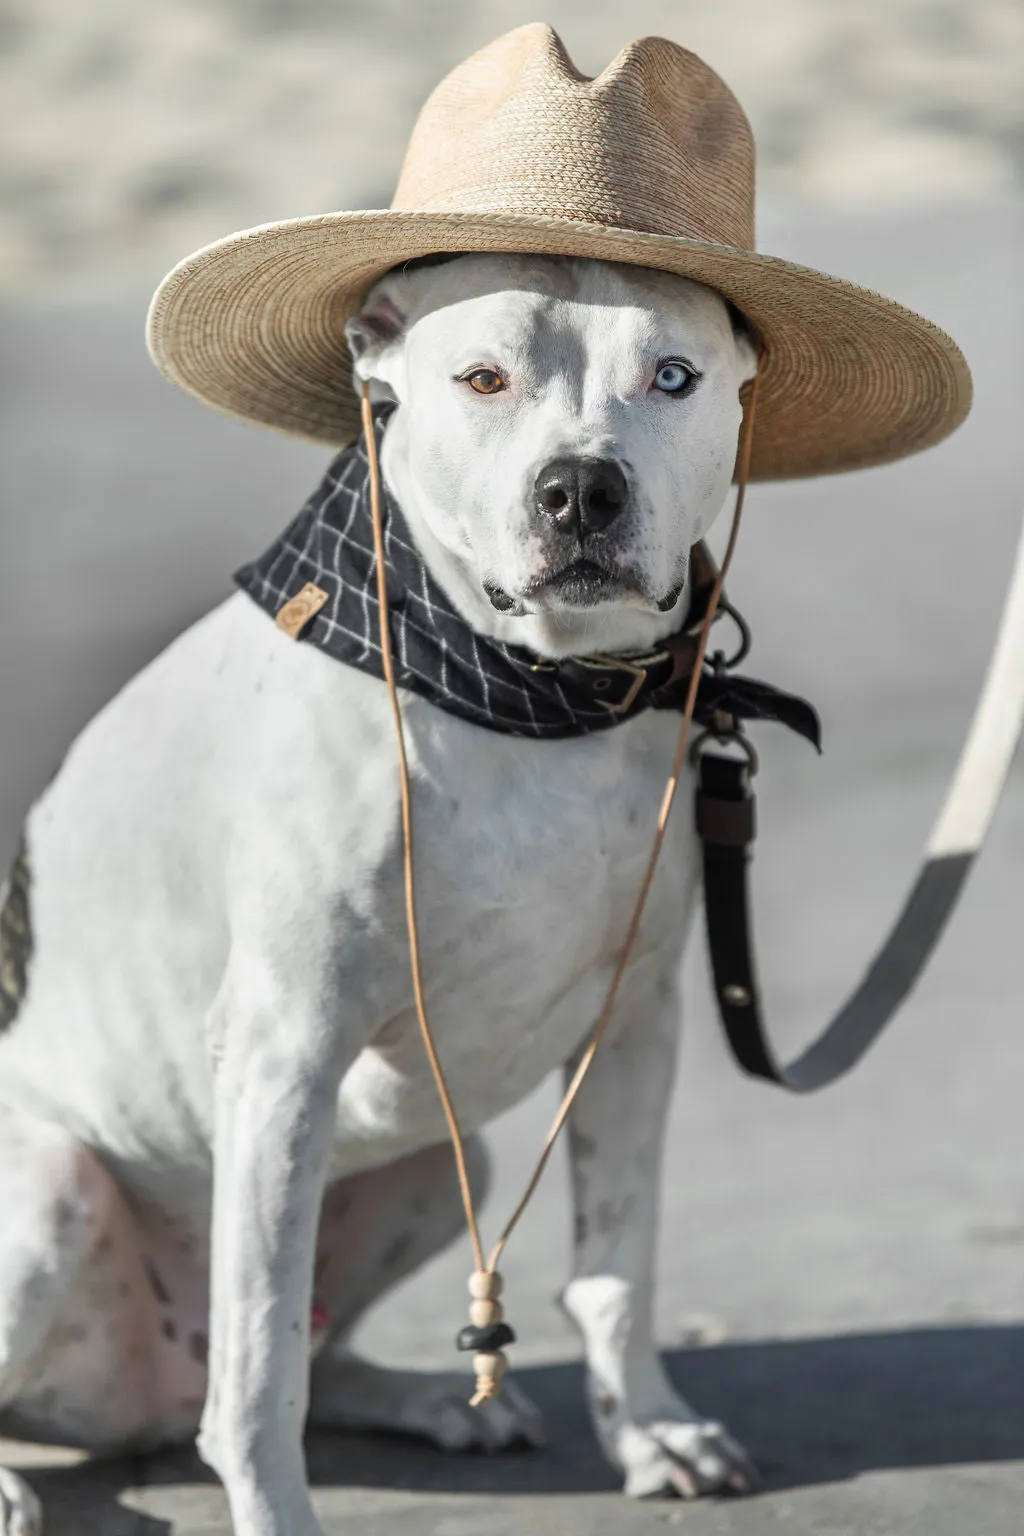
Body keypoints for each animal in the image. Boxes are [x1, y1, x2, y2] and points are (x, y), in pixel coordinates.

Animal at [0, 248, 761, 1523]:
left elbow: (616, 1260)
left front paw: (649, 1429)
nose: (580, 490)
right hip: (54, 1187)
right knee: (223, 1363)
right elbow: (260, 1382)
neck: (530, 699)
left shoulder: (635, 1022)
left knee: (322, 1350)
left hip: (431, 1162)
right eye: (483, 377)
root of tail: (134, 1400)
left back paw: (434, 1402)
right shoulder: (285, 1060)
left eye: (672, 375)